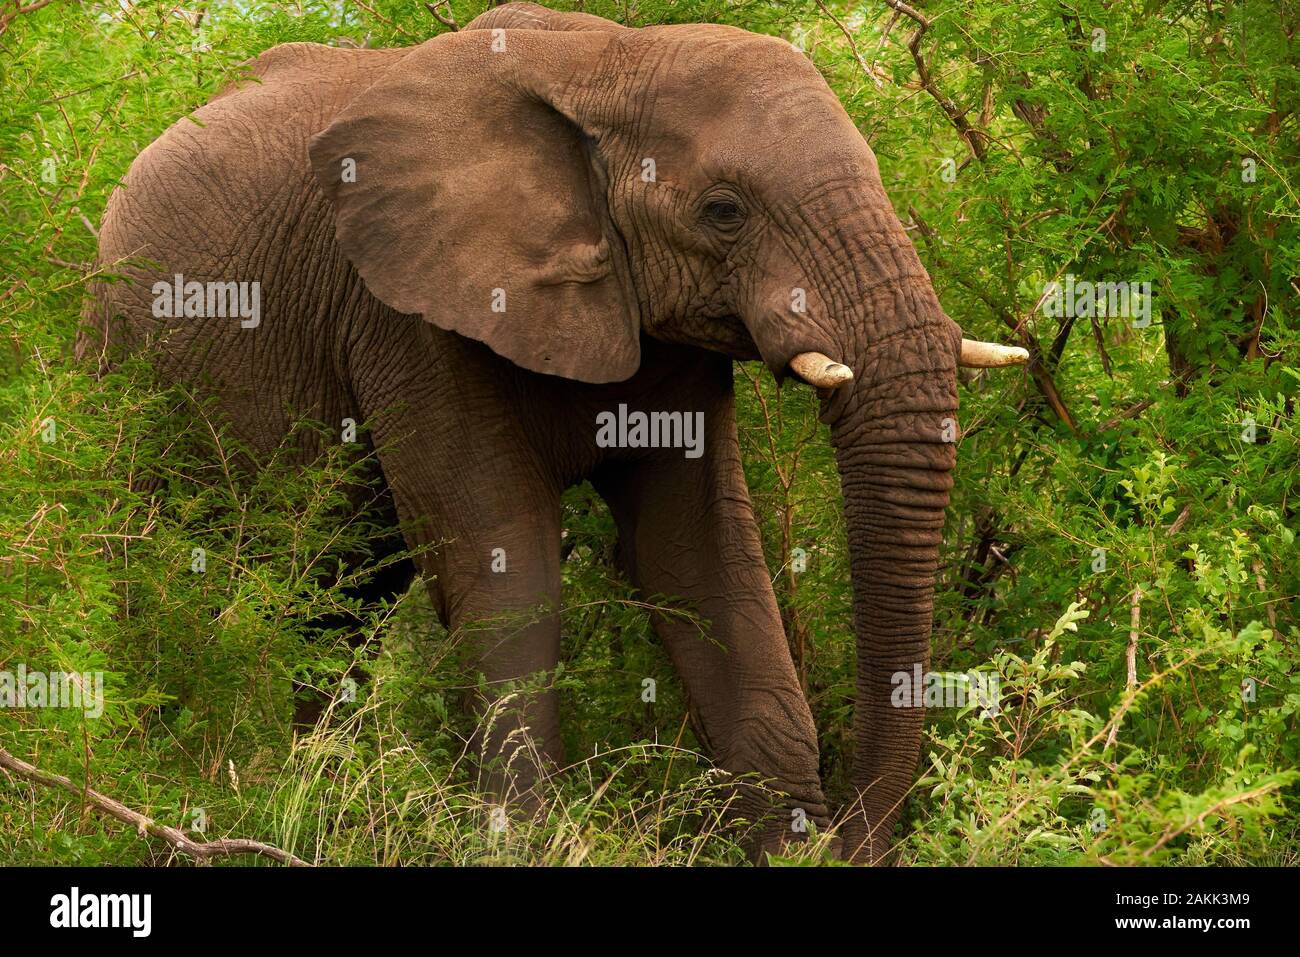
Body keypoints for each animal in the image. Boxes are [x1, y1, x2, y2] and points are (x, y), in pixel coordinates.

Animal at [78, 1, 1024, 868]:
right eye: (724, 211)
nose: (859, 839)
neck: (605, 59)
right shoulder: (407, 313)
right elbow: (504, 555)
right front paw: (525, 842)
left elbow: (700, 555)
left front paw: (784, 846)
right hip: (120, 361)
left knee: (334, 600)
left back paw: (312, 789)